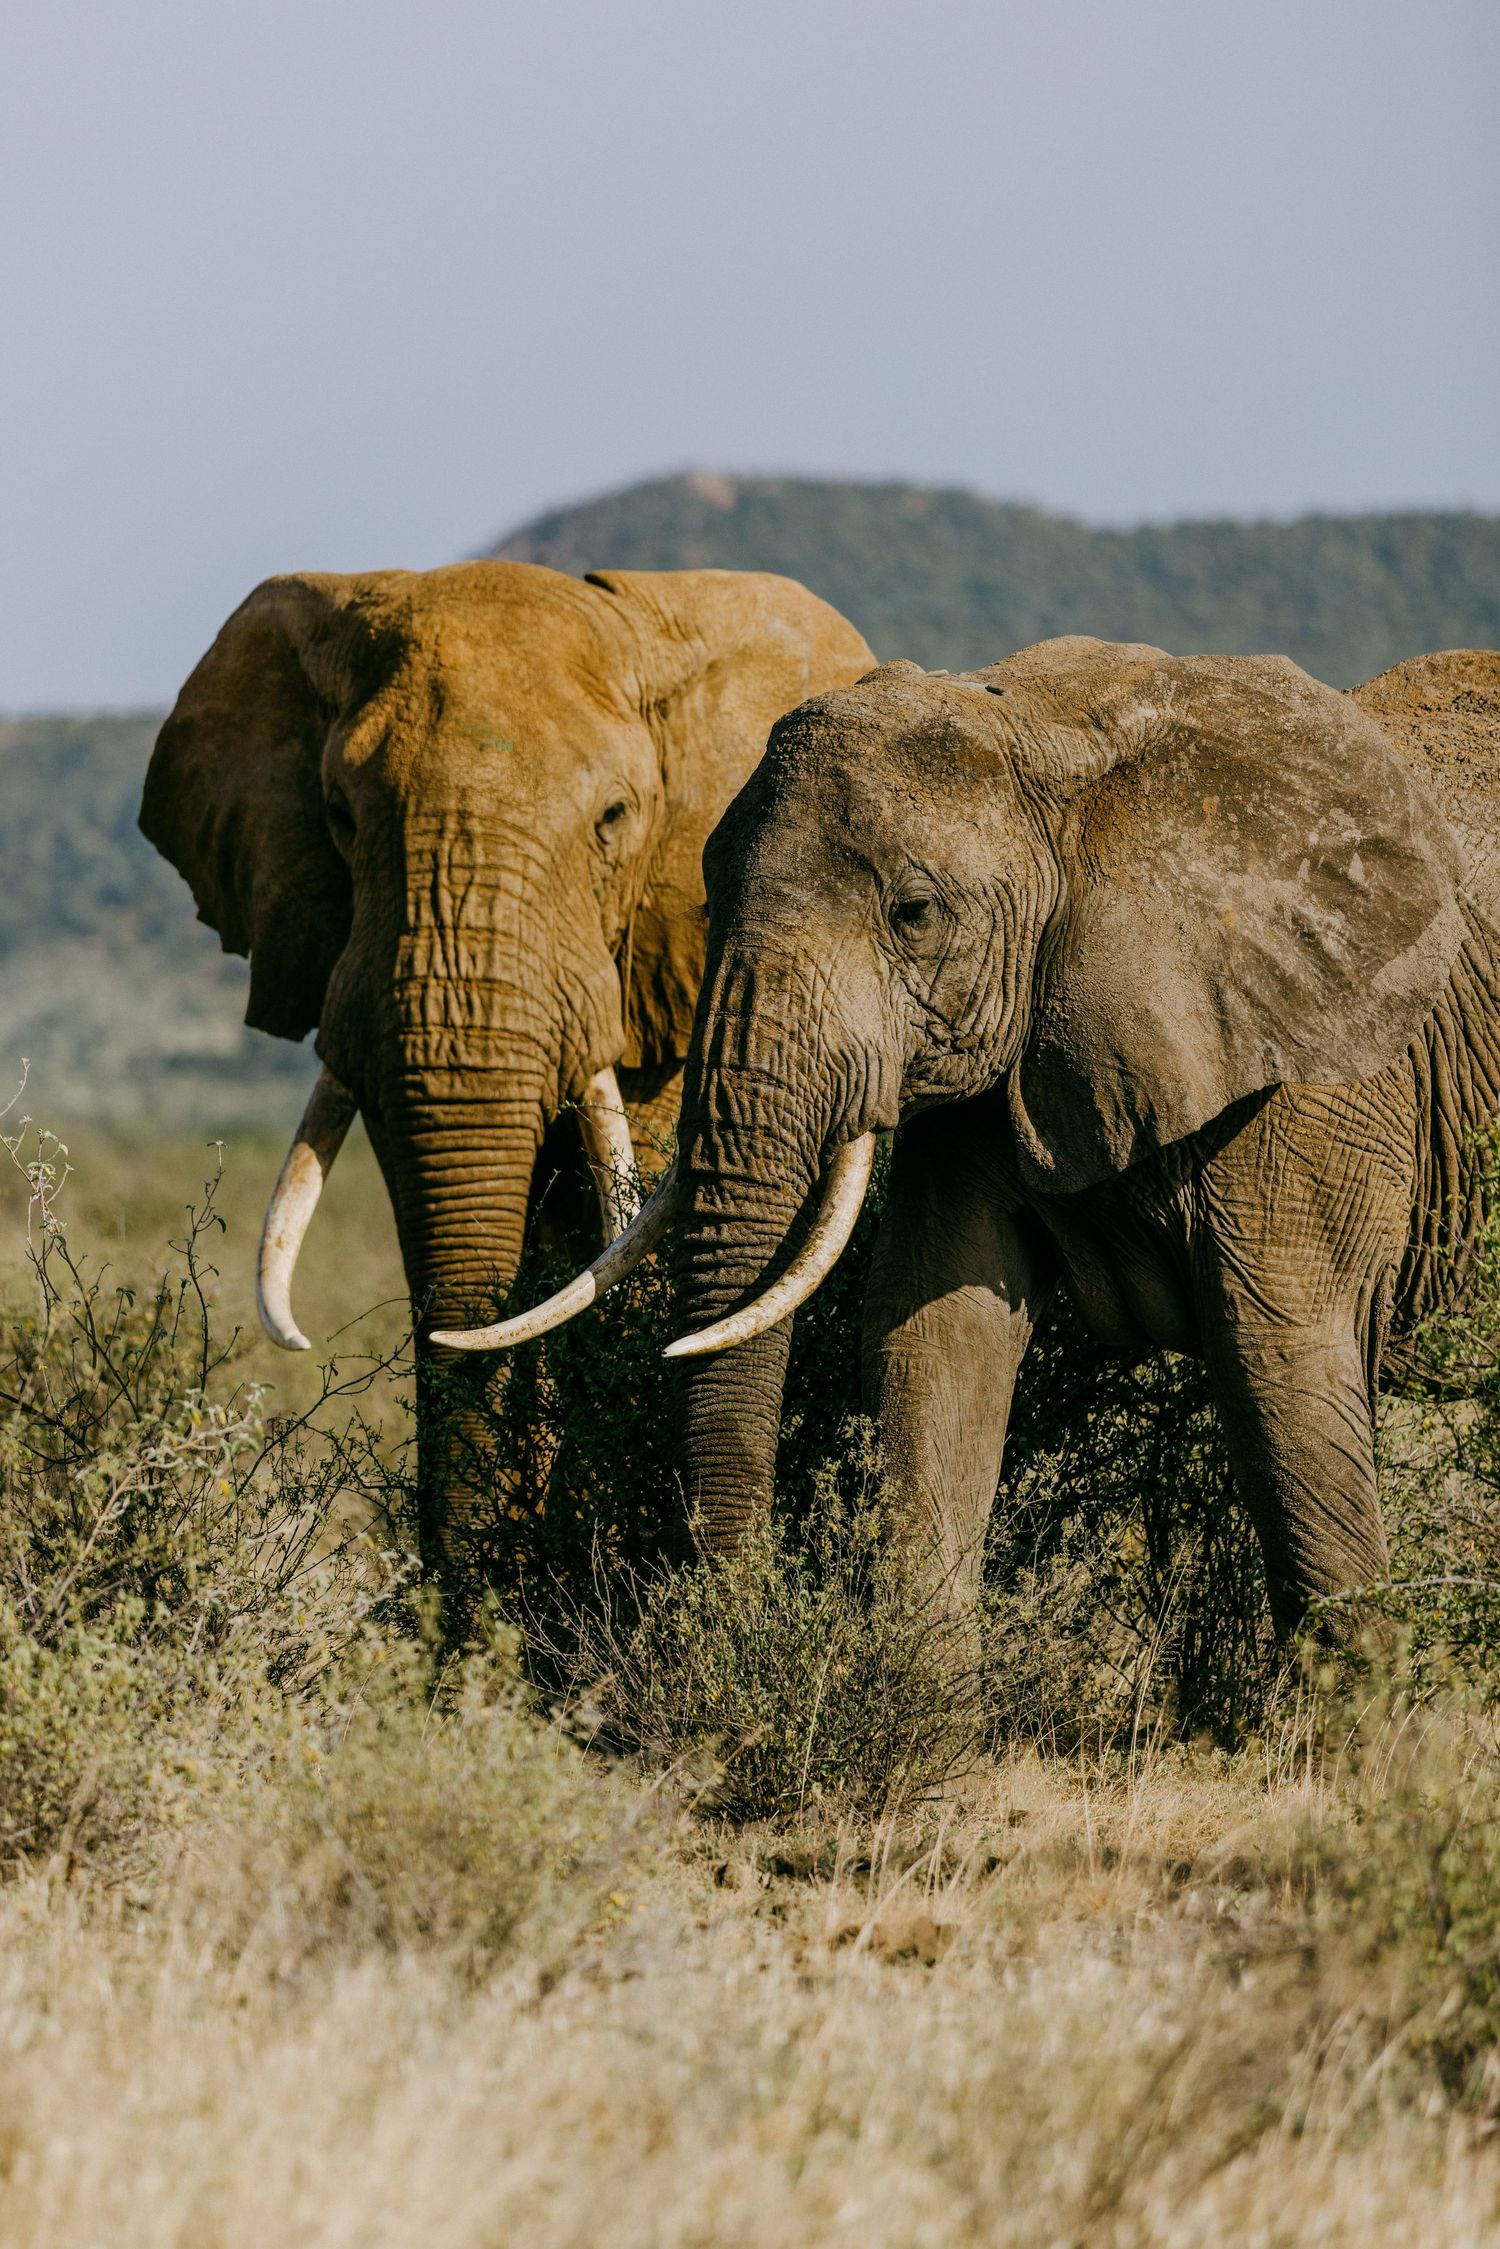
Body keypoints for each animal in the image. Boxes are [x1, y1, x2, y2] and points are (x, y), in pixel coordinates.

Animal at [447, 638, 1500, 1642]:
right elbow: (935, 1338)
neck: (1056, 740)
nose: (734, 1611)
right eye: (705, 901)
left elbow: (1284, 1364)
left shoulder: (1313, 1071)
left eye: (914, 914)